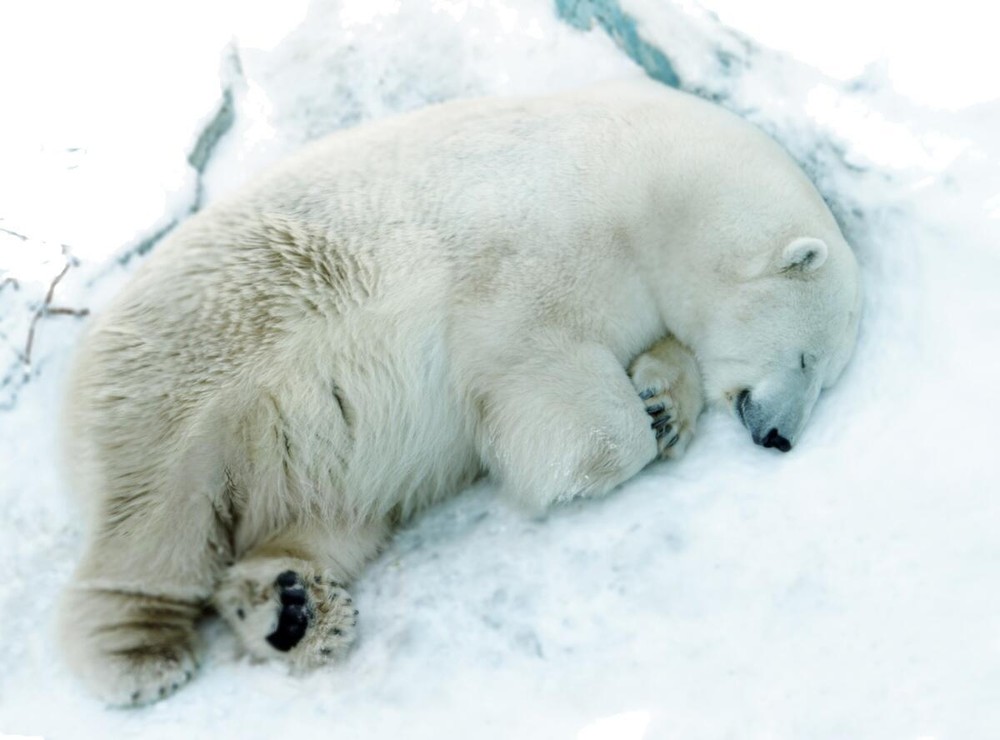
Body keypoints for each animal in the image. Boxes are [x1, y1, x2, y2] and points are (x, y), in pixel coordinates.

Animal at [58, 78, 861, 705]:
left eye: (826, 373)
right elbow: (534, 363)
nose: (781, 436)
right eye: (810, 359)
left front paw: (663, 404)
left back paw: (292, 609)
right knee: (158, 512)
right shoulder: (534, 244)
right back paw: (142, 656)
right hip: (200, 362)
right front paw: (598, 454)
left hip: (306, 459)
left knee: (324, 519)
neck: (650, 180)